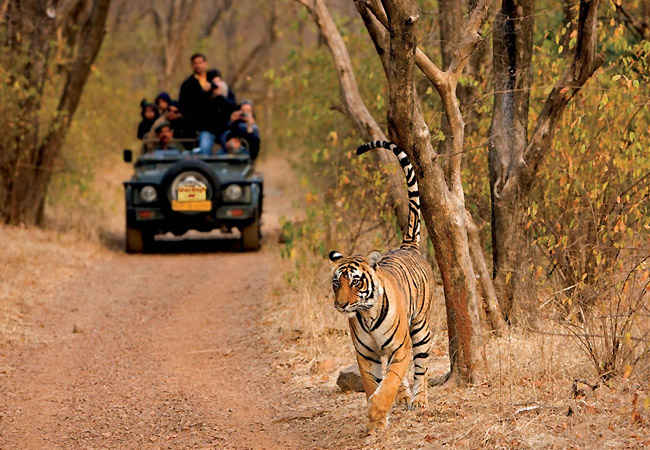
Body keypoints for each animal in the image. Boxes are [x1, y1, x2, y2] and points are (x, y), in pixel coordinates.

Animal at [326, 141, 432, 432]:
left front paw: (377, 412)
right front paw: (375, 419)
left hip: (420, 328)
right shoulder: (366, 355)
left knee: (421, 367)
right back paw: (405, 397)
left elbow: (389, 382)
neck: (367, 315)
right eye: (336, 282)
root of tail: (408, 246)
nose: (341, 305)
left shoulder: (400, 348)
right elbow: (372, 384)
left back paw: (419, 400)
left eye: (355, 281)